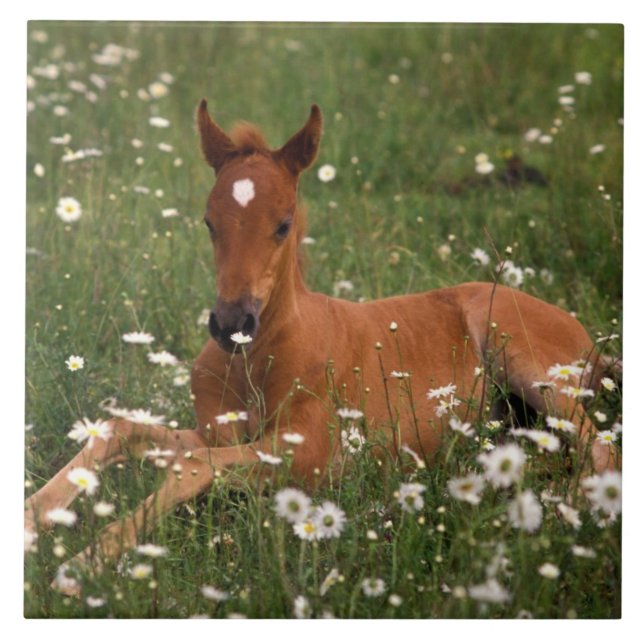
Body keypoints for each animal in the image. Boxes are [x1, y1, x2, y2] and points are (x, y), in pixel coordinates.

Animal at [25, 101, 616, 591]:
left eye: (283, 224)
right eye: (209, 221)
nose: (231, 323)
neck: (257, 361)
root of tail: (591, 341)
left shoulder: (311, 454)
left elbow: (192, 466)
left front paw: (84, 562)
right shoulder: (216, 430)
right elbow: (124, 432)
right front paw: (34, 515)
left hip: (524, 358)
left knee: (602, 450)